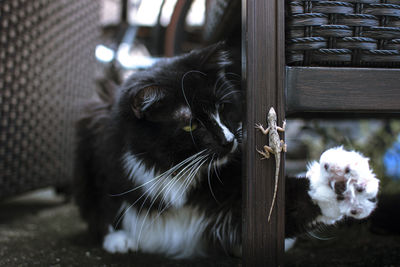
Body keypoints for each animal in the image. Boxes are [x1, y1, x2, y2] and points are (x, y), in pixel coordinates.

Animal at [74, 43, 378, 260]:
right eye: (190, 125)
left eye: (222, 107)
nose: (230, 140)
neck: (174, 179)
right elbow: (106, 205)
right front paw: (118, 237)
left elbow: (297, 201)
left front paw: (343, 181)